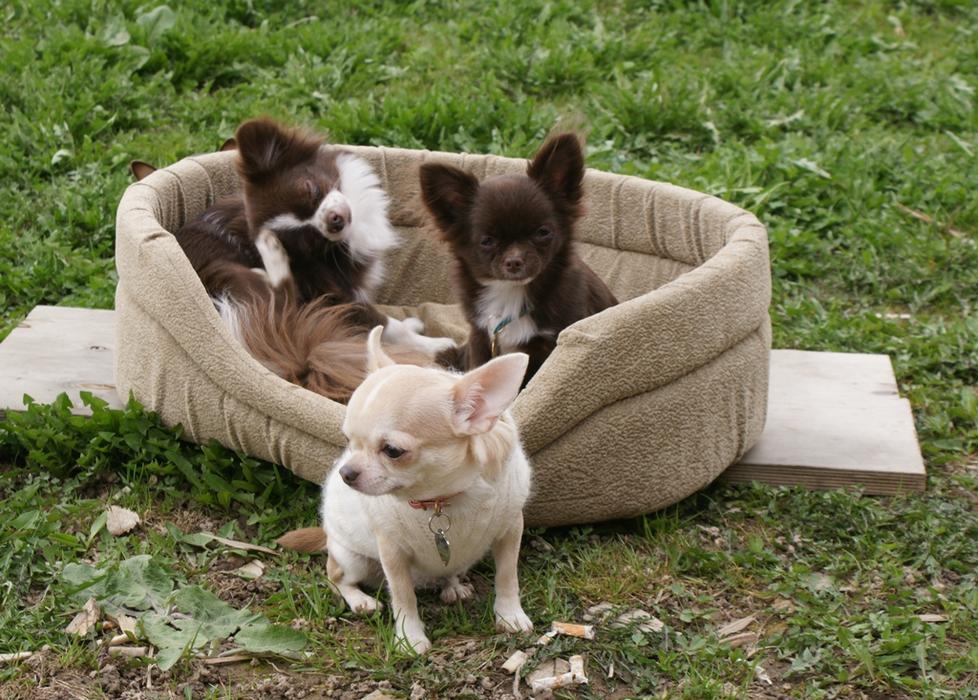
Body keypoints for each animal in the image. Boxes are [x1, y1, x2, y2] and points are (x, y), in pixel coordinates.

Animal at [281, 327, 534, 653]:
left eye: (393, 451)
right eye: (348, 441)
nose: (346, 473)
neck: (442, 499)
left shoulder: (510, 530)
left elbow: (507, 576)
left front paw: (510, 615)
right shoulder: (392, 552)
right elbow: (403, 596)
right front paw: (410, 638)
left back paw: (452, 586)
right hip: (353, 560)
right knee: (335, 576)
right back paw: (361, 600)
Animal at [419, 132, 617, 383]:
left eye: (543, 232)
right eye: (487, 241)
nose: (514, 261)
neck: (511, 293)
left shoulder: (550, 342)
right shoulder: (480, 336)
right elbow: (480, 368)